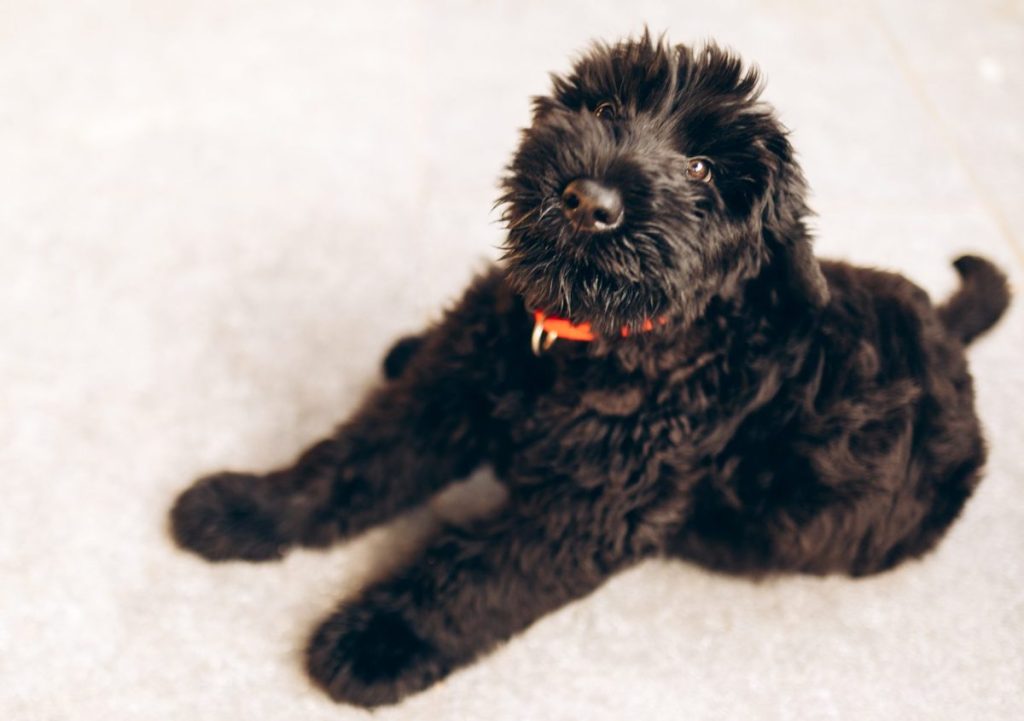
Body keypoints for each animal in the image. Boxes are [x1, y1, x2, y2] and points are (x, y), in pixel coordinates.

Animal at [167, 35, 1007, 708]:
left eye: (702, 169)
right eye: (604, 105)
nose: (586, 198)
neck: (584, 344)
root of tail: (950, 338)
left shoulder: (591, 511)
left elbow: (474, 577)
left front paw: (375, 641)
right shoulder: (446, 391)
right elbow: (353, 459)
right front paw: (246, 506)